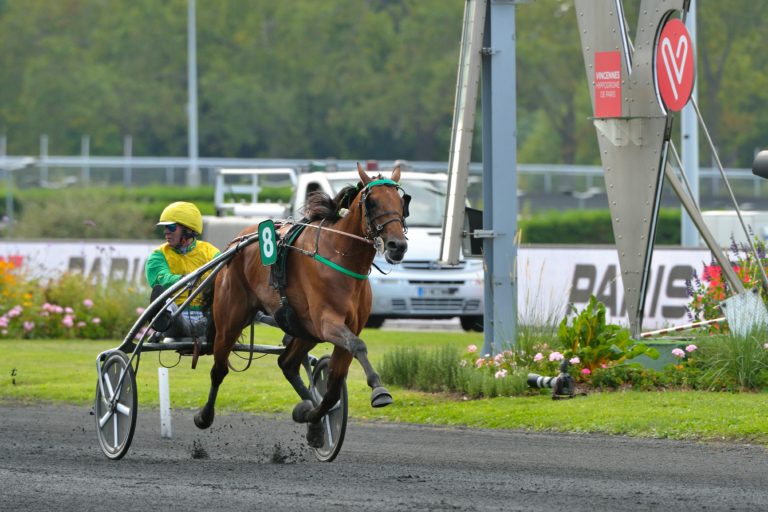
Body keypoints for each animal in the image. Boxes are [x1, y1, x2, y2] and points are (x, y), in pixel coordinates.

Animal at [195, 162, 412, 446]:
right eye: (372, 202)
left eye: (401, 201)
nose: (398, 245)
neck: (342, 256)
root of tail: (236, 242)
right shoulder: (327, 323)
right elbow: (358, 345)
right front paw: (379, 389)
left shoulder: (344, 327)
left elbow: (333, 390)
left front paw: (312, 416)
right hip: (231, 319)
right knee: (219, 369)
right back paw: (204, 415)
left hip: (304, 330)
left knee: (287, 363)